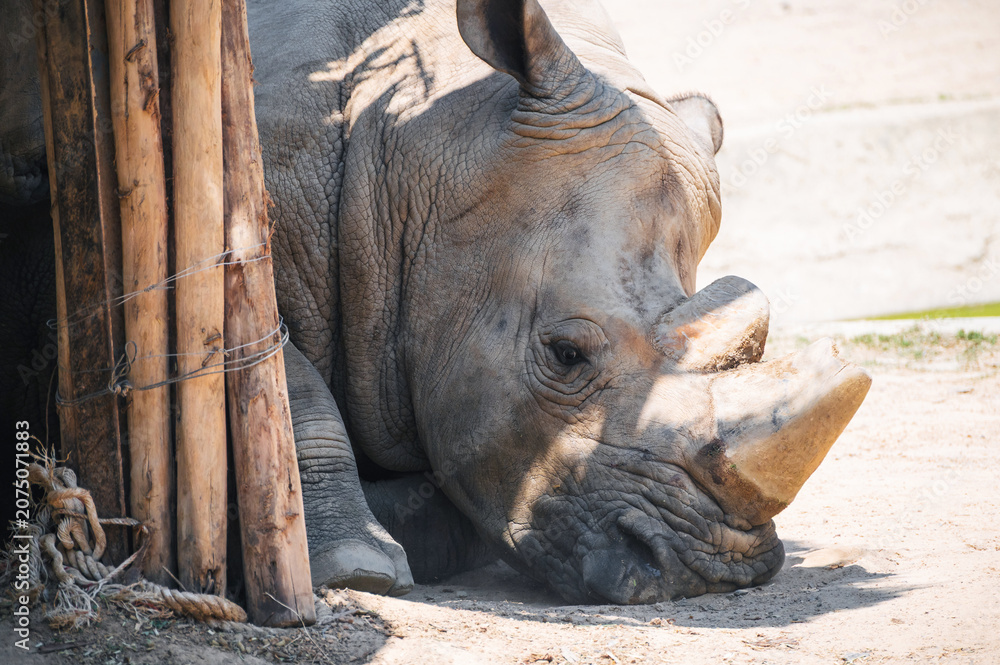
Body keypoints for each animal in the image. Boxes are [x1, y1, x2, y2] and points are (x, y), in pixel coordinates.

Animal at [0, 0, 871, 604]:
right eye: (565, 354)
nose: (709, 571)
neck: (409, 154)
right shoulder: (218, 216)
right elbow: (281, 376)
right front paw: (362, 568)